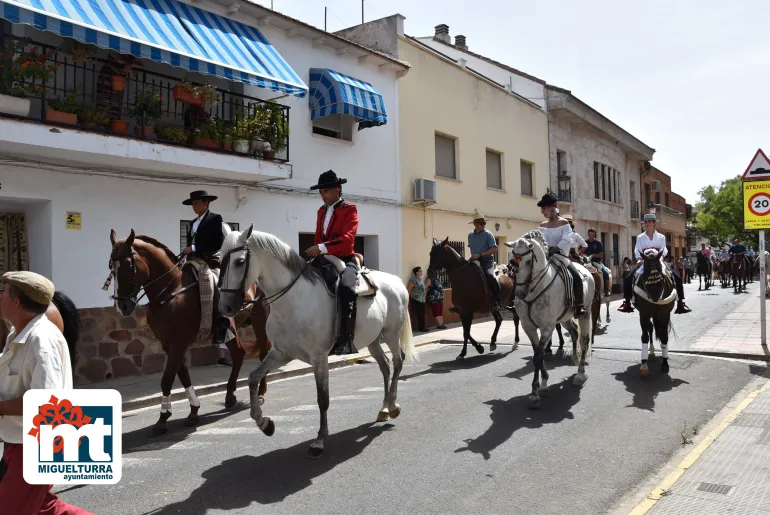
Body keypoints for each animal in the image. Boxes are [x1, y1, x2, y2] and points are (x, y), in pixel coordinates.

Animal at [109, 230, 270, 436]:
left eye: (130, 265)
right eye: (111, 266)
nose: (123, 305)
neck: (170, 291)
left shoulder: (179, 342)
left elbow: (168, 378)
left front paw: (162, 419)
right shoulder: (168, 342)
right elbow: (182, 374)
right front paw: (193, 411)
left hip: (260, 322)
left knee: (264, 353)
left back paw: (261, 393)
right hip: (230, 331)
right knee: (238, 355)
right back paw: (230, 396)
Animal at [216, 226, 414, 460]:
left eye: (239, 261)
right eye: (219, 259)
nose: (226, 307)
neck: (293, 301)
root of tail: (397, 282)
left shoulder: (318, 357)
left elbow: (323, 398)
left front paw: (319, 441)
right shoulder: (281, 353)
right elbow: (253, 378)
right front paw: (265, 423)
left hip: (391, 333)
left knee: (398, 361)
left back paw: (392, 406)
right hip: (373, 339)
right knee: (385, 366)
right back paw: (383, 409)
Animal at [504, 231, 592, 408]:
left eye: (529, 261)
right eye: (512, 262)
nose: (520, 294)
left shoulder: (547, 326)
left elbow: (538, 356)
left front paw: (534, 392)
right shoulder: (528, 326)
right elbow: (537, 355)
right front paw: (543, 385)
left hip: (585, 314)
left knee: (584, 340)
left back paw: (580, 374)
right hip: (564, 318)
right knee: (574, 333)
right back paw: (575, 358)